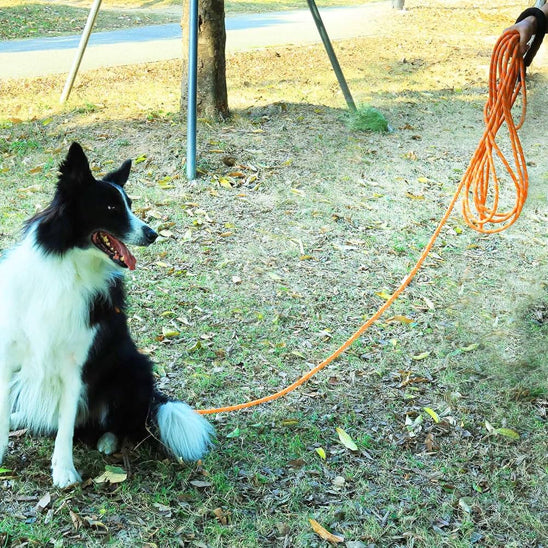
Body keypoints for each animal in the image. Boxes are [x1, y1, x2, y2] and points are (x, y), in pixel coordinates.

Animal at [0, 142, 214, 488]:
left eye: (130, 205)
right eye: (112, 208)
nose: (153, 233)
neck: (69, 267)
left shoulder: (76, 365)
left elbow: (65, 425)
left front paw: (64, 470)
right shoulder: (10, 353)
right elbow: (4, 411)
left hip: (133, 368)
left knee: (121, 425)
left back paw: (108, 439)